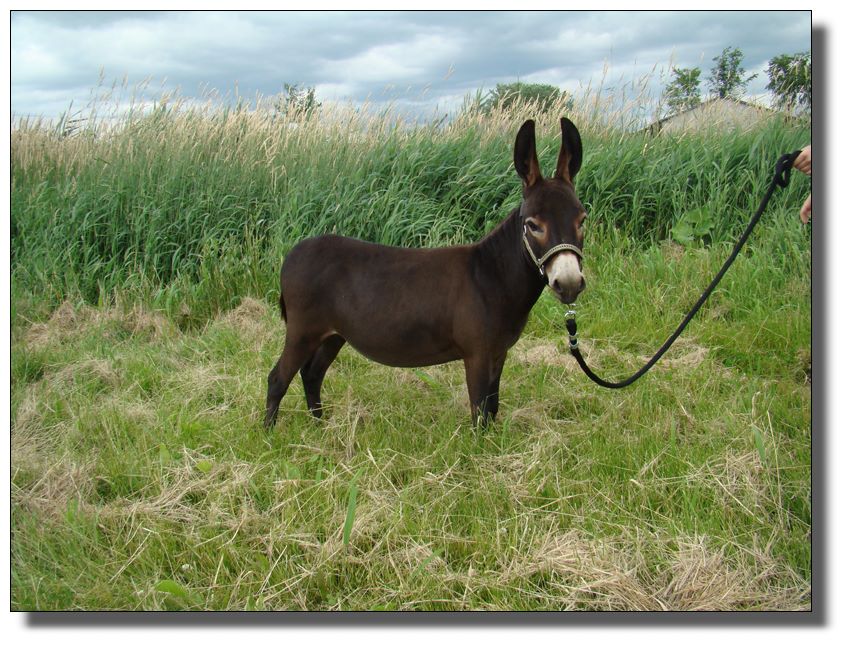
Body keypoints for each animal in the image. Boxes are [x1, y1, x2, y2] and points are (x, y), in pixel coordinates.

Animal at [265, 117, 587, 427]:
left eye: (582, 220)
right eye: (533, 225)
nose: (569, 283)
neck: (493, 275)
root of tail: (292, 254)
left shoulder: (499, 351)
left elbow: (492, 407)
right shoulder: (478, 354)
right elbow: (479, 411)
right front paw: (478, 445)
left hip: (333, 335)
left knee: (312, 374)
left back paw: (319, 426)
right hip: (303, 330)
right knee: (278, 378)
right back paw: (270, 432)